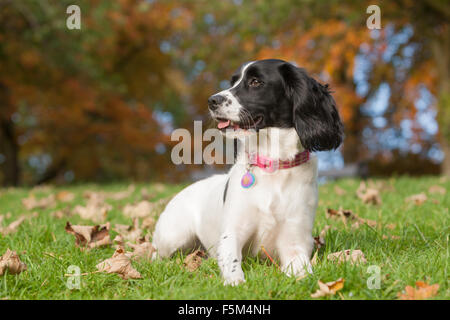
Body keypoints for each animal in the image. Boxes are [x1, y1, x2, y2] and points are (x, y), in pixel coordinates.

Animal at [153, 59, 342, 284]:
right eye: (233, 82)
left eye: (255, 82)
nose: (212, 100)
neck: (273, 166)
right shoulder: (232, 233)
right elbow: (232, 261)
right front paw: (236, 283)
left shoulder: (295, 239)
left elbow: (302, 270)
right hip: (173, 236)